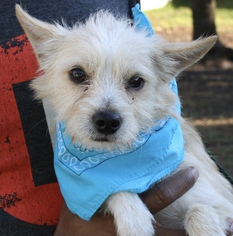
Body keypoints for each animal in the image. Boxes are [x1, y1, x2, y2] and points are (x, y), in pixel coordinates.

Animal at [15, 4, 232, 236]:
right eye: (77, 74)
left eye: (136, 81)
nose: (107, 122)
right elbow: (111, 188)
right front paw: (134, 217)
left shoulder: (222, 205)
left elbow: (199, 209)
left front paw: (206, 228)